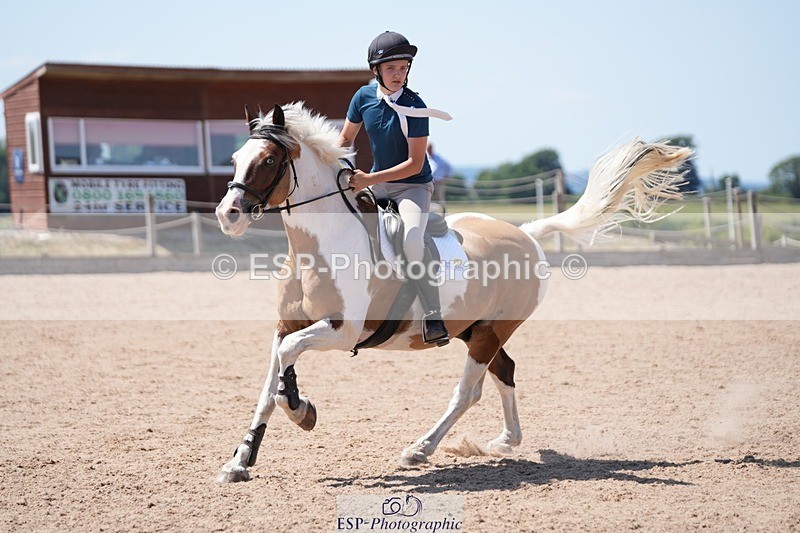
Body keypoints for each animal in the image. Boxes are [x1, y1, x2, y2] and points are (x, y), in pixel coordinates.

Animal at [214, 102, 690, 483]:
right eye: (235, 158)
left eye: (268, 160)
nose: (227, 214)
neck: (321, 245)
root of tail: (527, 233)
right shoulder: (286, 325)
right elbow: (271, 380)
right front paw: (240, 461)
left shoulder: (342, 330)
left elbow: (287, 362)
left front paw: (301, 409)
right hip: (475, 328)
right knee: (504, 372)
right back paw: (503, 441)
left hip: (490, 331)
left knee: (469, 391)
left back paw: (420, 449)